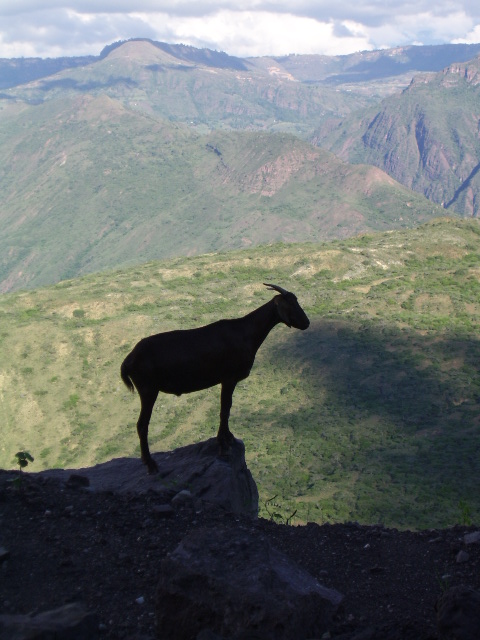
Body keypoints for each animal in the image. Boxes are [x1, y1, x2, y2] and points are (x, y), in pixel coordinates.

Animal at [118, 282, 310, 472]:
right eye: (290, 304)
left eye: (297, 300)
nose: (307, 323)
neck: (246, 332)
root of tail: (128, 360)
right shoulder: (229, 378)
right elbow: (225, 408)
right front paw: (224, 442)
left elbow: (226, 408)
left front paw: (228, 437)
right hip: (148, 389)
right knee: (142, 424)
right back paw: (150, 463)